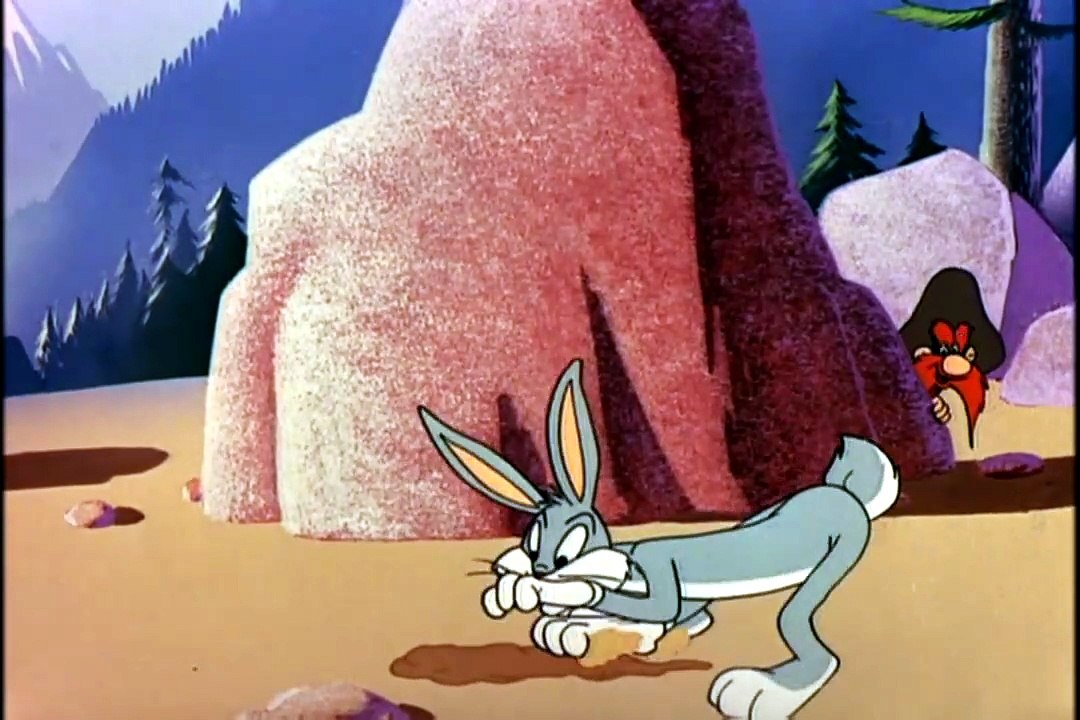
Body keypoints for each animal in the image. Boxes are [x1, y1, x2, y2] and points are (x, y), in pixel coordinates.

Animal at [418, 358, 899, 720]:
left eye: (570, 547)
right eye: (532, 542)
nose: (538, 569)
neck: (622, 559)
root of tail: (838, 491)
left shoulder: (659, 573)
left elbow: (651, 604)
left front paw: (557, 597)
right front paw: (561, 614)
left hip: (843, 546)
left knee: (805, 634)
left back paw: (766, 690)